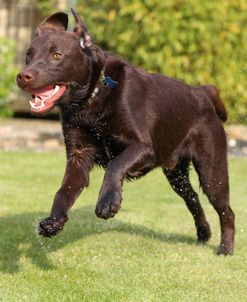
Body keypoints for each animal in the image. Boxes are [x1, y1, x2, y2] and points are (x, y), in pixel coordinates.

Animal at [16, 10, 234, 255]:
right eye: (28, 54)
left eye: (56, 55)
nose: (23, 76)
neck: (92, 98)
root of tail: (201, 92)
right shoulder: (79, 155)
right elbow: (64, 191)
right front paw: (53, 221)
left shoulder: (143, 147)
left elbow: (115, 164)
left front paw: (108, 202)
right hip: (176, 175)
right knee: (193, 198)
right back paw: (203, 233)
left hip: (212, 173)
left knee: (226, 210)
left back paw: (226, 248)